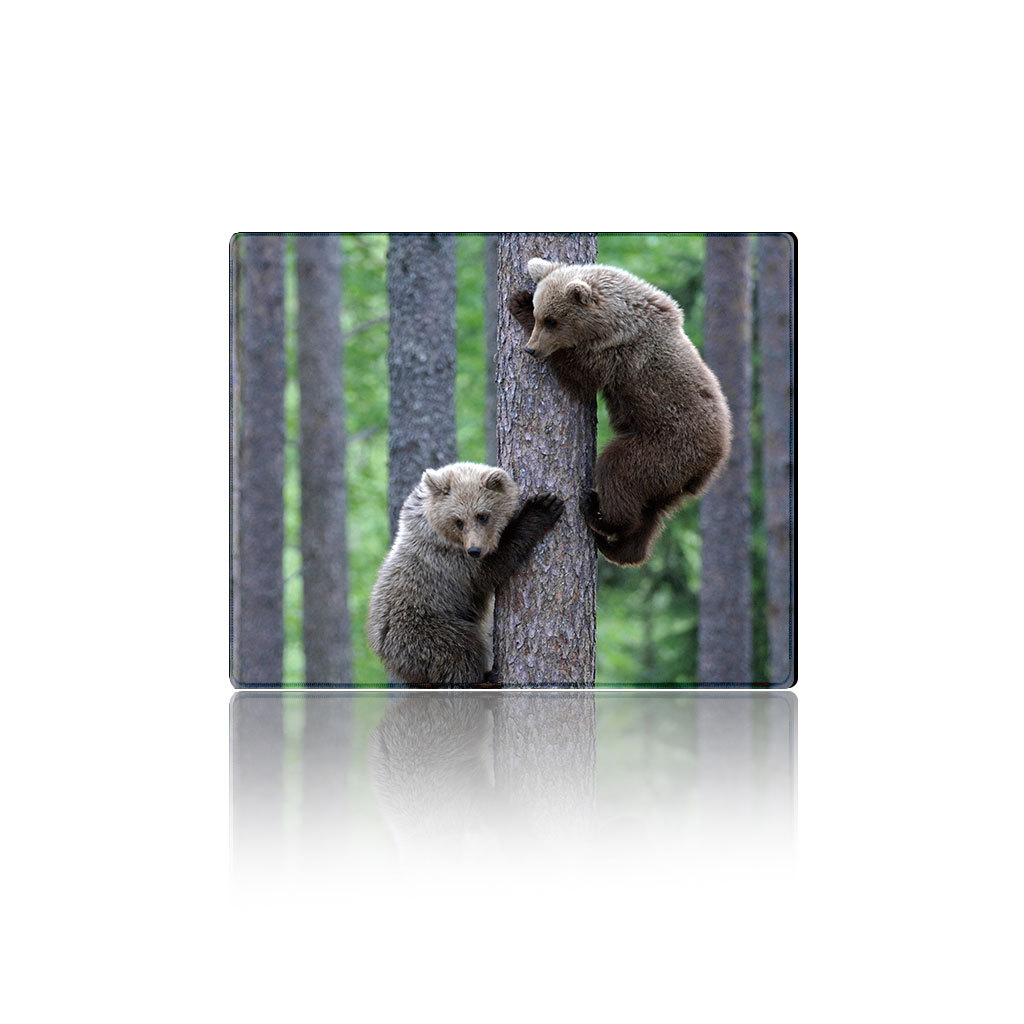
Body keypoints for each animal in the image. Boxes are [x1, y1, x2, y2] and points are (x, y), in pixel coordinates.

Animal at [367, 462, 564, 688]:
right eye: (458, 521)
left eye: (482, 515)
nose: (475, 550)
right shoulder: (450, 562)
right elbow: (491, 568)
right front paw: (542, 508)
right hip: (423, 627)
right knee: (458, 650)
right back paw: (487, 677)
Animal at [508, 258, 732, 567]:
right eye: (542, 314)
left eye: (550, 320)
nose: (531, 349)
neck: (614, 321)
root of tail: (714, 459)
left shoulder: (617, 356)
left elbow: (579, 377)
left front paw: (518, 304)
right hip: (670, 478)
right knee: (651, 511)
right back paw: (621, 548)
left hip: (665, 447)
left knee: (617, 470)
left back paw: (597, 513)